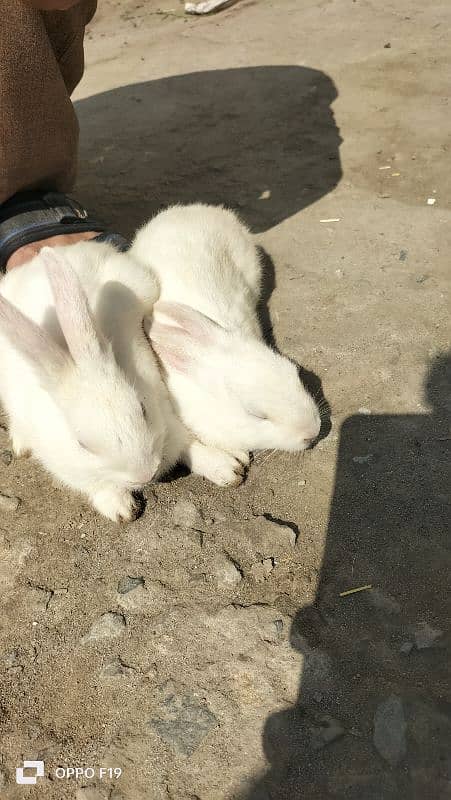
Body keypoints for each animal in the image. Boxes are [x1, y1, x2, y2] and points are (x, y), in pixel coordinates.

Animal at [0, 241, 247, 520]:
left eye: (142, 409)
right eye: (83, 444)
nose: (146, 474)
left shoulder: (165, 415)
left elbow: (189, 444)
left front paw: (226, 469)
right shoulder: (66, 465)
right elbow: (95, 485)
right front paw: (121, 509)